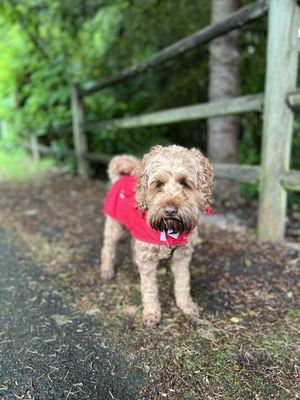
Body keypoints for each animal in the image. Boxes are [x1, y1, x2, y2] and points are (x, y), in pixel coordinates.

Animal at [101, 145, 213, 326]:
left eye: (184, 183)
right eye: (158, 184)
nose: (170, 210)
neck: (170, 229)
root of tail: (120, 178)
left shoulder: (182, 256)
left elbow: (183, 282)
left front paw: (186, 305)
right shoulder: (148, 260)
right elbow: (149, 289)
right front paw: (151, 313)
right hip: (114, 227)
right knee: (108, 249)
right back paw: (106, 270)